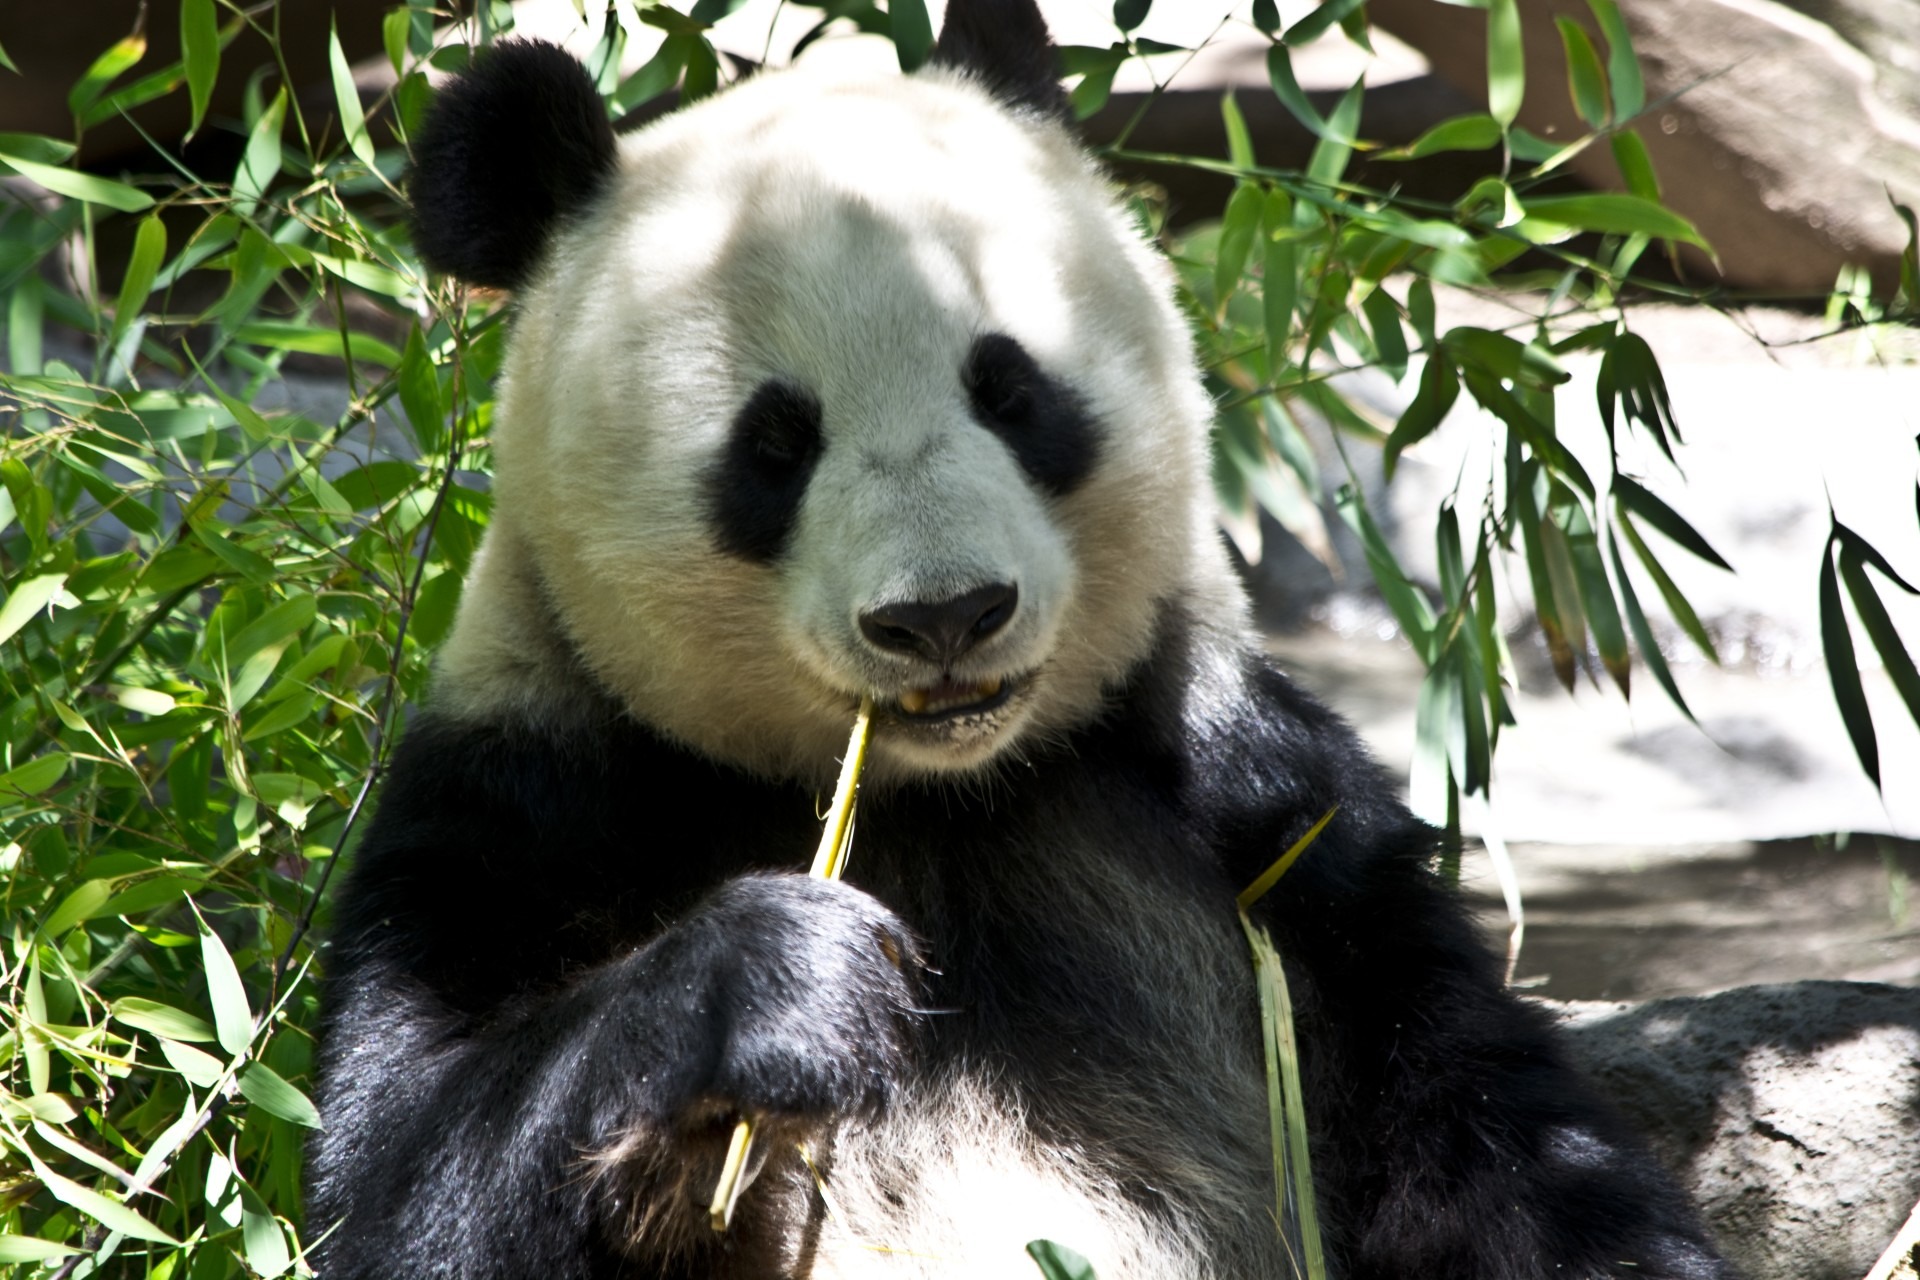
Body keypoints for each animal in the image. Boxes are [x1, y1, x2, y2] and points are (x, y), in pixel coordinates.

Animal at [307, 2, 1735, 1280]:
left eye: (1010, 389)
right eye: (775, 443)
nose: (944, 614)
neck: (935, 798)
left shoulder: (1265, 813)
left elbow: (1500, 1149)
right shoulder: (531, 796)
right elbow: (397, 1180)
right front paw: (776, 983)